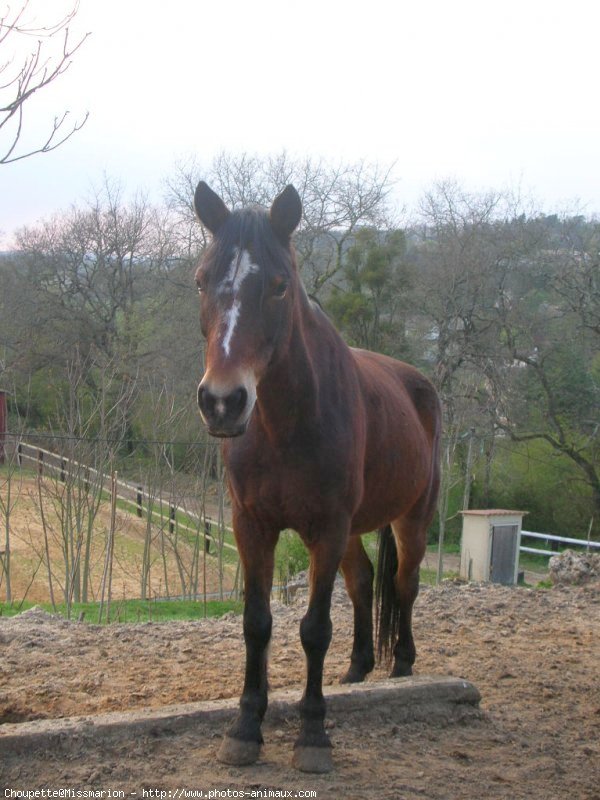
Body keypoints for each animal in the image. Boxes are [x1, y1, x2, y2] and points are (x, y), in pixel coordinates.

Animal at [192, 183, 440, 776]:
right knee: (365, 582)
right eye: (201, 280)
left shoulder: (325, 530)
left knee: (404, 584)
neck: (285, 424)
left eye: (280, 285)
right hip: (352, 531)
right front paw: (246, 727)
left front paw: (312, 736)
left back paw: (401, 667)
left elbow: (314, 629)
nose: (222, 402)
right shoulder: (252, 526)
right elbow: (256, 623)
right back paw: (357, 670)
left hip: (411, 519)